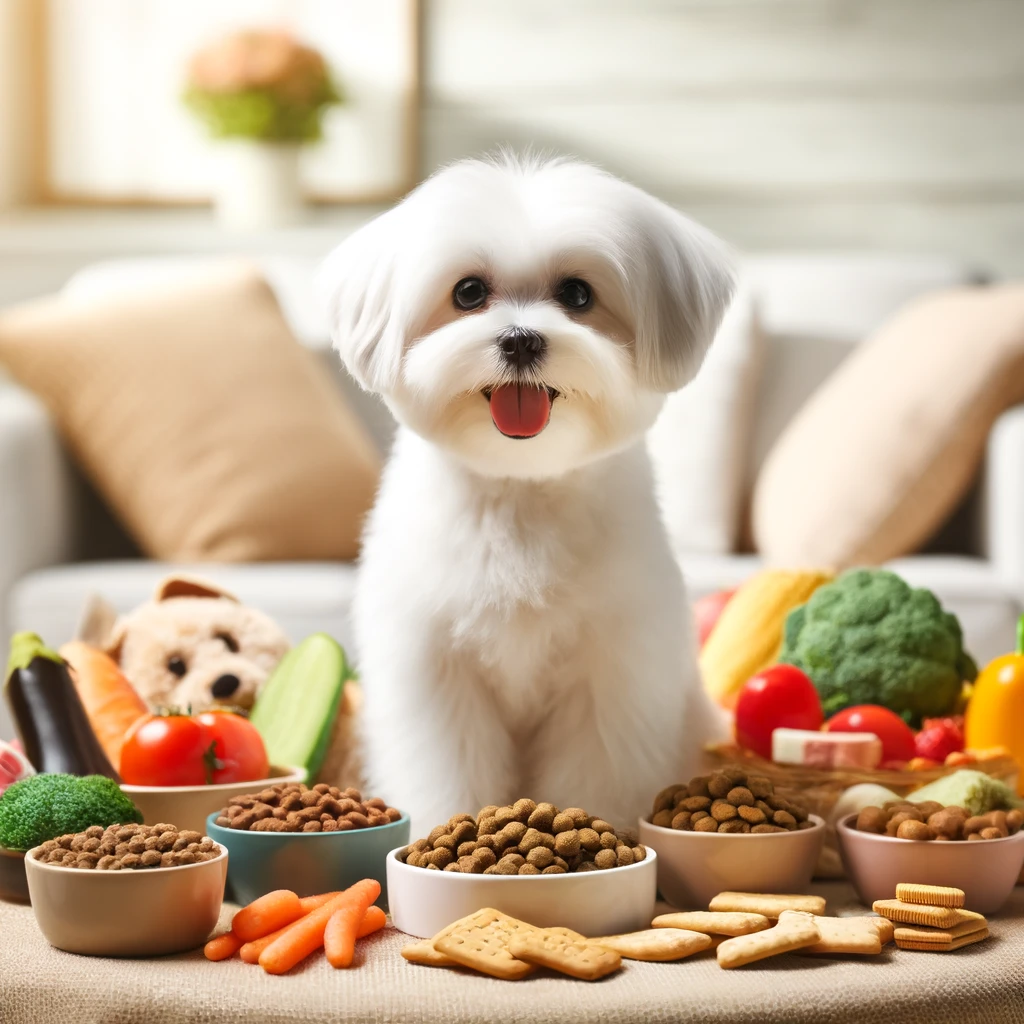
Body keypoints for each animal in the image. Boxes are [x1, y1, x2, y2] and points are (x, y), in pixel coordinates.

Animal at [323, 151, 733, 831]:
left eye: (577, 294)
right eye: (468, 292)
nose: (520, 338)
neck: (521, 486)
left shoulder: (609, 676)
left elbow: (595, 768)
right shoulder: (437, 673)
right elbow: (449, 764)